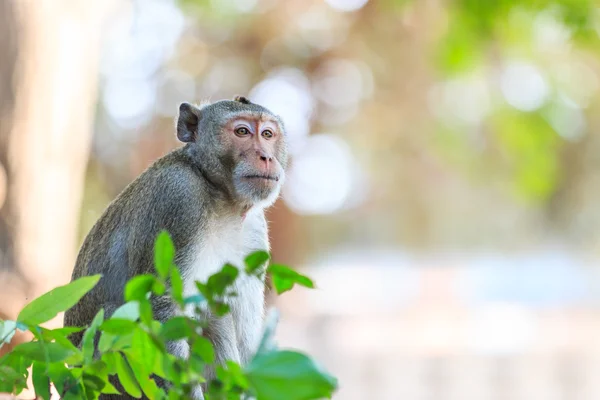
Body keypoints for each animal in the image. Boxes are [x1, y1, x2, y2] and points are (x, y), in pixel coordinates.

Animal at [64, 95, 290, 398]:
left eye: (267, 134)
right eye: (242, 131)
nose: (266, 156)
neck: (220, 196)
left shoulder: (254, 229)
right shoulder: (178, 199)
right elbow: (161, 311)